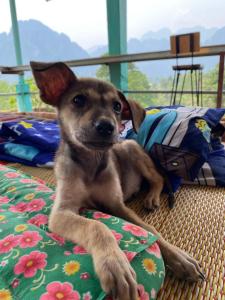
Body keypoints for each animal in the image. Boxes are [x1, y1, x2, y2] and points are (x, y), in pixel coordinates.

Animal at [30, 61, 205, 300]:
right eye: (78, 100)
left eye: (117, 106)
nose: (107, 126)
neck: (90, 163)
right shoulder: (61, 211)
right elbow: (97, 226)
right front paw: (115, 265)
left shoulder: (117, 204)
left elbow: (151, 230)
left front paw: (180, 259)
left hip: (131, 148)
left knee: (158, 179)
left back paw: (151, 198)